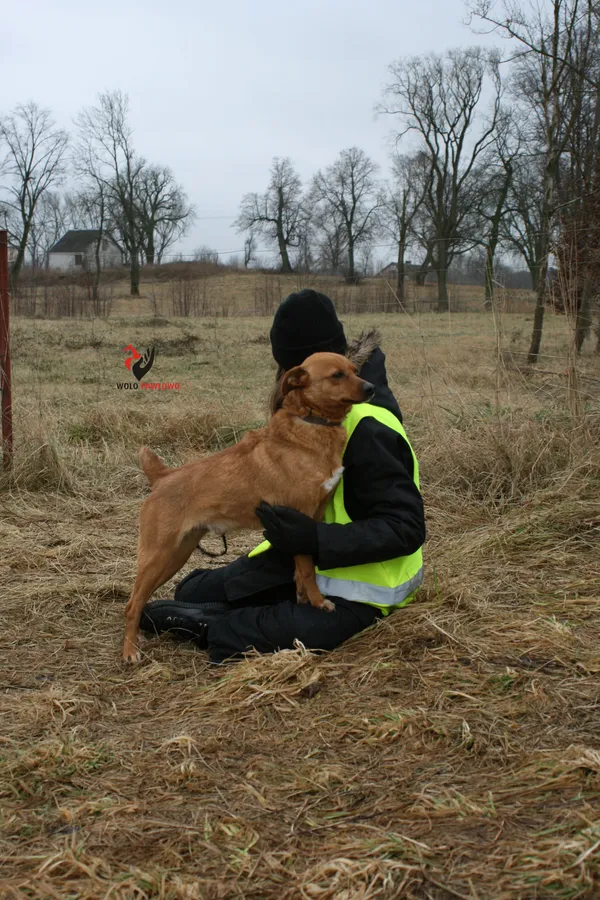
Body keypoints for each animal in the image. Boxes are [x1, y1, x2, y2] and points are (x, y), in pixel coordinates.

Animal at [122, 350, 372, 660]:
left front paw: (302, 599)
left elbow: (301, 572)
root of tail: (162, 478)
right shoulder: (299, 519)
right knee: (131, 605)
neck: (310, 425)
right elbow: (307, 571)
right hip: (158, 556)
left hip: (175, 556)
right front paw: (317, 603)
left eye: (355, 370)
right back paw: (129, 651)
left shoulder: (310, 523)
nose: (371, 388)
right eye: (337, 375)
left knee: (139, 600)